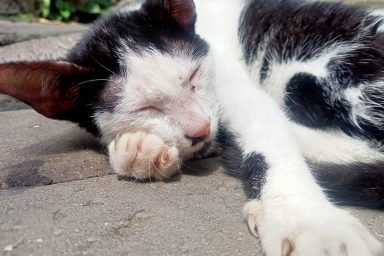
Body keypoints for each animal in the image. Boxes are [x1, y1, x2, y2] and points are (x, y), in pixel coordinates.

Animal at [0, 0, 384, 255]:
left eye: (194, 76)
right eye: (146, 107)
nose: (201, 129)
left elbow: (265, 127)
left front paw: (307, 220)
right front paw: (140, 147)